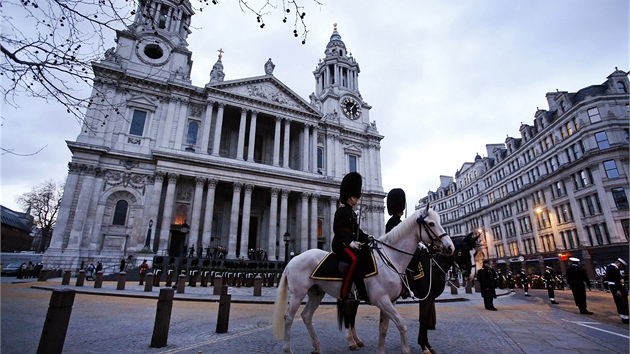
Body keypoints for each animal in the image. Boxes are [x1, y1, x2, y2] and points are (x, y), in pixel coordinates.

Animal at [272, 205, 454, 354]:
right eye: (431, 224)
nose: (449, 246)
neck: (390, 259)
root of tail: (291, 261)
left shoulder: (391, 301)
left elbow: (383, 329)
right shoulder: (382, 299)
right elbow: (402, 325)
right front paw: (414, 349)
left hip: (317, 293)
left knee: (306, 316)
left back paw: (317, 347)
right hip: (298, 293)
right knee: (288, 317)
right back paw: (288, 350)